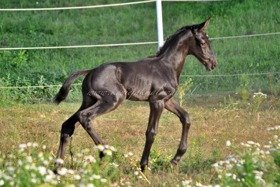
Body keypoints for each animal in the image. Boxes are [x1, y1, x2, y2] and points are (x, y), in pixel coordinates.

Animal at [54, 18, 217, 170]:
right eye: (203, 42)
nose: (213, 63)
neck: (167, 66)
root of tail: (90, 71)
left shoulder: (167, 100)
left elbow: (186, 118)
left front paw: (175, 160)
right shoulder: (157, 101)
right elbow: (151, 132)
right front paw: (144, 165)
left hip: (89, 101)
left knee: (67, 125)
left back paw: (58, 167)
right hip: (113, 100)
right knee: (84, 117)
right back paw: (104, 152)